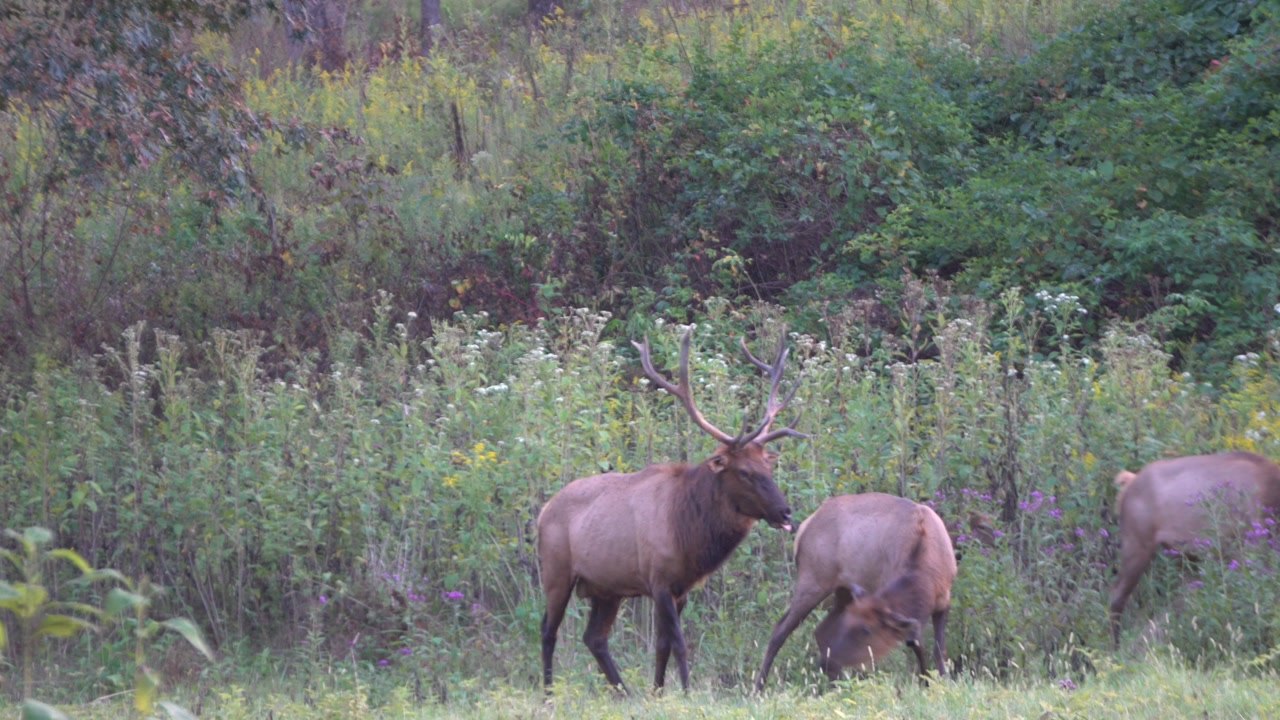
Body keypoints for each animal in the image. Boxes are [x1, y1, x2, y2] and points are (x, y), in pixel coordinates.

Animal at [536, 328, 806, 693]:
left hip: (606, 587)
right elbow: (678, 642)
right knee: (548, 631)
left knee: (594, 637)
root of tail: (542, 512)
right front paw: (687, 690)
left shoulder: (680, 588)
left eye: (768, 465)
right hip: (556, 571)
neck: (689, 536)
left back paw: (625, 693)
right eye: (744, 472)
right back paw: (549, 692)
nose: (785, 512)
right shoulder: (659, 579)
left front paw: (659, 691)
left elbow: (663, 643)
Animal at [754, 493, 957, 691]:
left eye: (866, 630)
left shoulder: (943, 601)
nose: (828, 660)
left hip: (841, 591)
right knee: (781, 629)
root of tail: (803, 528)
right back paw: (759, 687)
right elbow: (918, 643)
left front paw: (940, 681)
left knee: (820, 630)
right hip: (813, 581)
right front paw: (927, 682)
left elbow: (937, 648)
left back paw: (835, 684)